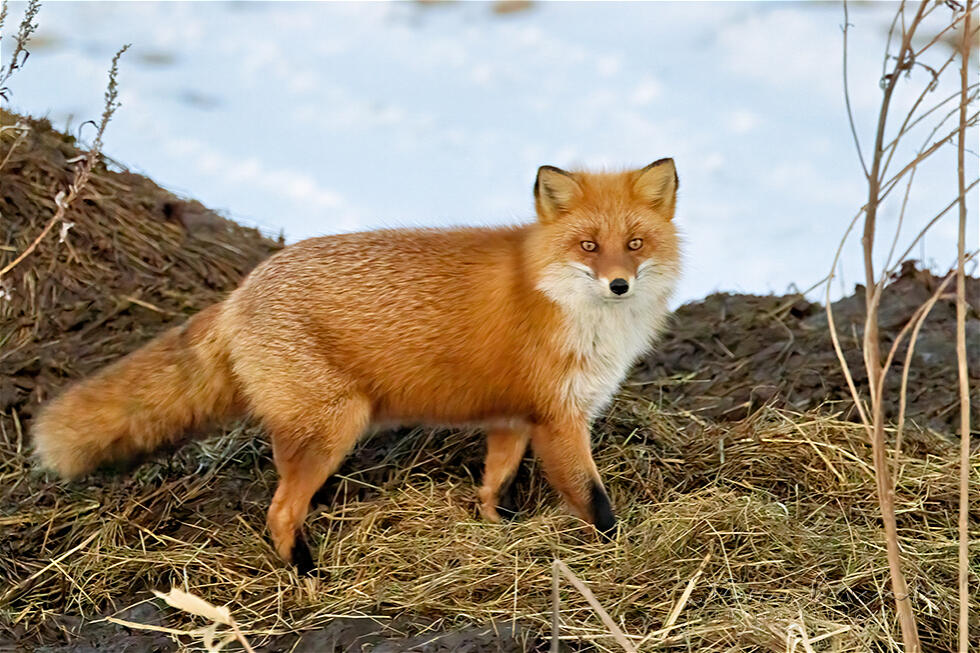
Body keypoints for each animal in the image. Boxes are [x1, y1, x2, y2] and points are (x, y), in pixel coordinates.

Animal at [32, 160, 681, 573]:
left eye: (635, 244)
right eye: (588, 247)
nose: (619, 285)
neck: (566, 305)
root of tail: (241, 291)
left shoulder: (515, 420)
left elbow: (492, 487)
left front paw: (493, 532)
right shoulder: (560, 419)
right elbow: (596, 502)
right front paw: (625, 549)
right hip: (336, 426)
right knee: (278, 511)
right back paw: (307, 573)